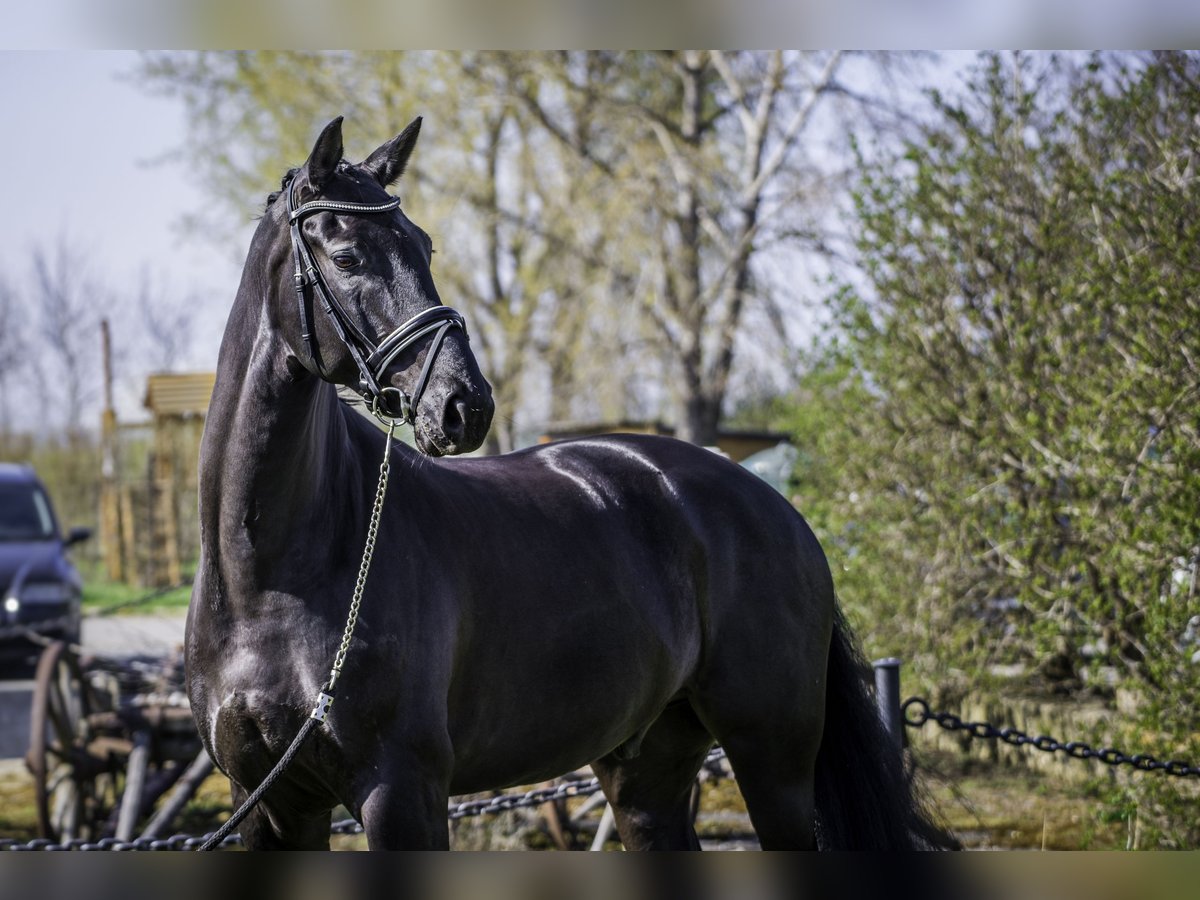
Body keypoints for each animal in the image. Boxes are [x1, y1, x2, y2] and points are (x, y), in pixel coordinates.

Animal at [187, 116, 940, 849]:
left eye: (424, 247)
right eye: (346, 258)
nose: (465, 404)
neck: (274, 574)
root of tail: (774, 505)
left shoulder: (403, 794)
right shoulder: (271, 806)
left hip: (773, 761)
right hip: (648, 768)